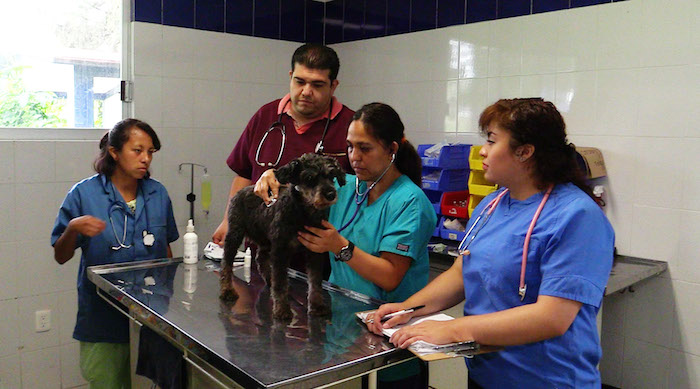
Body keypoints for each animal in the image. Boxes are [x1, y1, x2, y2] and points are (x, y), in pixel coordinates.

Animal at [220, 153, 346, 320]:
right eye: (309, 177)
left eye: (331, 175)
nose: (331, 194)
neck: (303, 214)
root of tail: (242, 191)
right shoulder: (280, 250)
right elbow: (280, 282)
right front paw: (282, 309)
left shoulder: (315, 251)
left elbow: (315, 281)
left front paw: (317, 305)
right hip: (235, 235)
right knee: (226, 263)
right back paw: (227, 290)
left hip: (265, 240)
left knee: (261, 258)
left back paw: (269, 280)